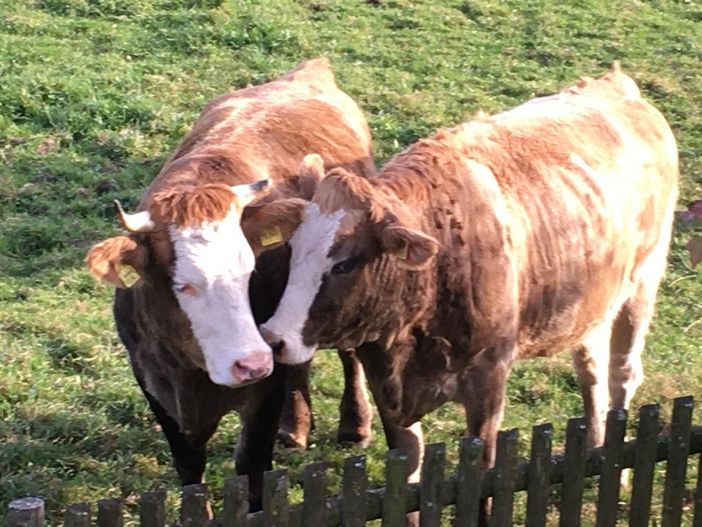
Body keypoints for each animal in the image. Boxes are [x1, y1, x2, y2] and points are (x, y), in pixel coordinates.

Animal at [86, 58, 376, 508]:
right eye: (182, 284)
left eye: (250, 270)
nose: (251, 363)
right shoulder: (152, 382)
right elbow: (190, 471)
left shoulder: (263, 391)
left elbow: (253, 470)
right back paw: (295, 427)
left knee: (349, 352)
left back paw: (355, 424)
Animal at [256, 66, 680, 490]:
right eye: (291, 250)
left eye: (345, 264)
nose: (275, 338)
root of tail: (616, 85)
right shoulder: (387, 387)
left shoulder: (488, 383)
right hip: (589, 305)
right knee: (591, 370)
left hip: (643, 282)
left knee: (622, 373)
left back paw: (618, 472)